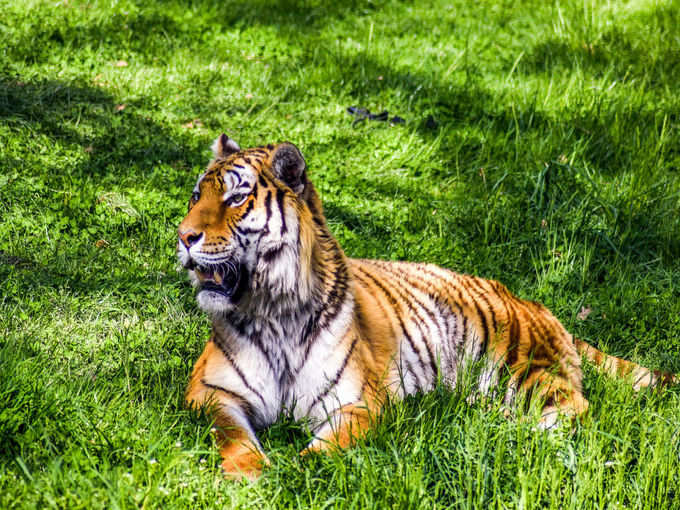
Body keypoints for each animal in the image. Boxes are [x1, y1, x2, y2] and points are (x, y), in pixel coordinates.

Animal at [178, 133, 676, 480]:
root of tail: (535, 303)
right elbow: (232, 435)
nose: (183, 237)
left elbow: (324, 452)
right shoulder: (211, 391)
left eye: (236, 198)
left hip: (526, 370)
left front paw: (294, 472)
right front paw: (249, 472)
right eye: (196, 196)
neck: (273, 308)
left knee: (576, 408)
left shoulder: (358, 404)